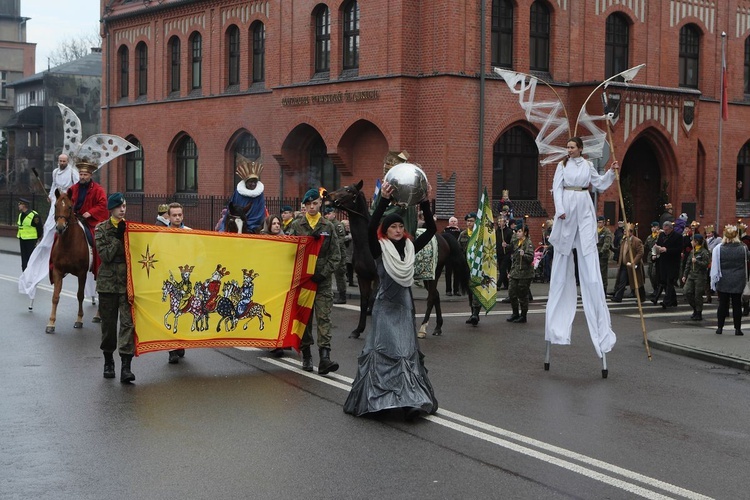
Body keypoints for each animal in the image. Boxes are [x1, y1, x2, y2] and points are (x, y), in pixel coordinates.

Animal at [46, 189, 90, 334]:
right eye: (55, 206)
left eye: (70, 207)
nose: (60, 227)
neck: (68, 243)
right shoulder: (57, 271)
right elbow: (55, 297)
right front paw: (51, 323)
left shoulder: (82, 273)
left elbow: (80, 295)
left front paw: (79, 319)